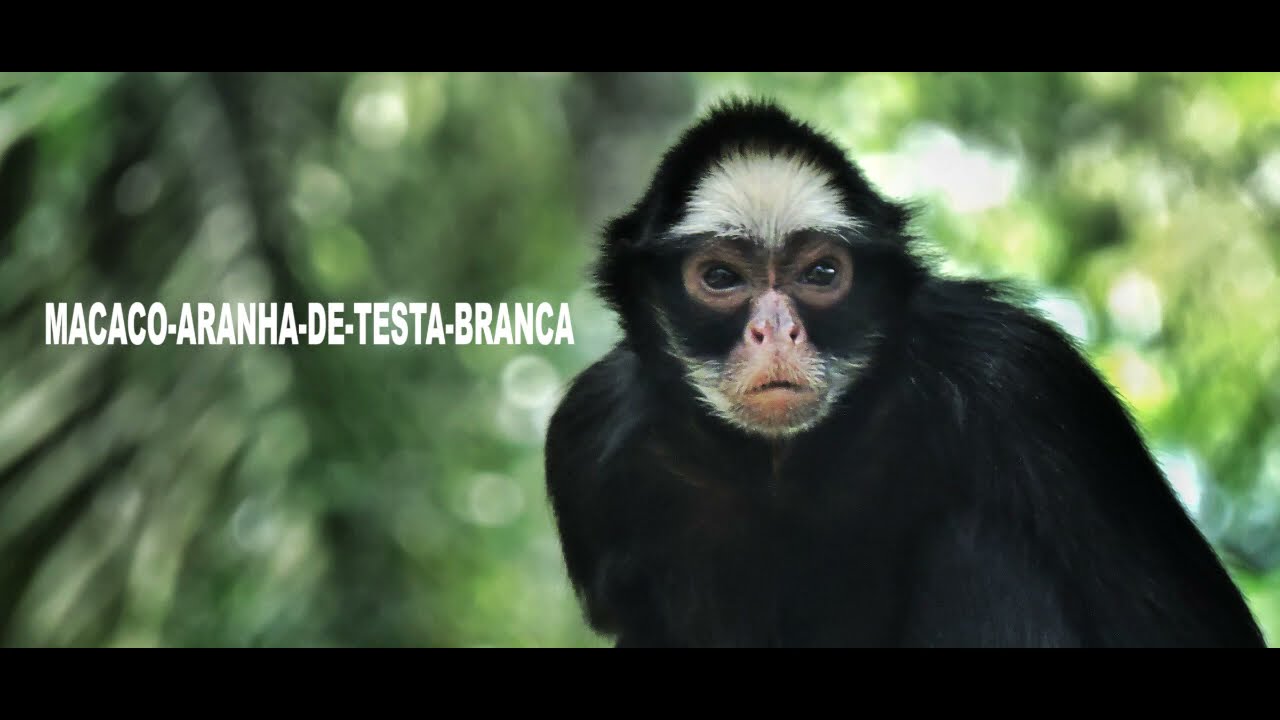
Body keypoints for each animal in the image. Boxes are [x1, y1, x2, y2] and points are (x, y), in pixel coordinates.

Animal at [543, 98, 1267, 648]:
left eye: (822, 273)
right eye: (720, 278)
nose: (776, 331)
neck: (781, 468)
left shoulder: (1019, 373)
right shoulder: (589, 431)